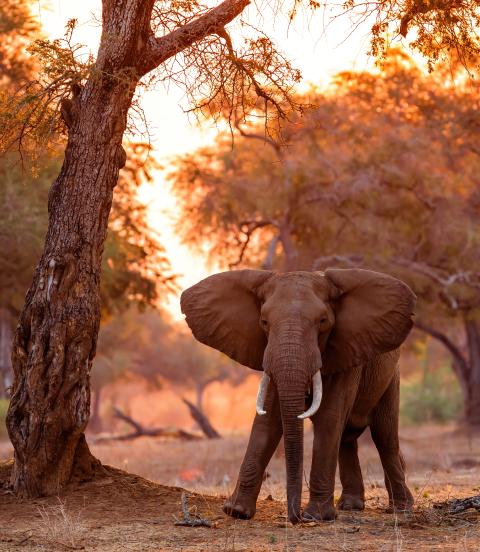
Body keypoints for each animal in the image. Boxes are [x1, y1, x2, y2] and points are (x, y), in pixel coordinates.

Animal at [180, 270, 416, 524]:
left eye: (323, 321)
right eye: (264, 322)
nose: (296, 517)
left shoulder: (346, 352)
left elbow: (329, 418)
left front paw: (318, 516)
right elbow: (267, 421)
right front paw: (236, 512)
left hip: (390, 378)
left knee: (384, 436)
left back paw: (401, 508)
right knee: (347, 439)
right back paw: (351, 506)